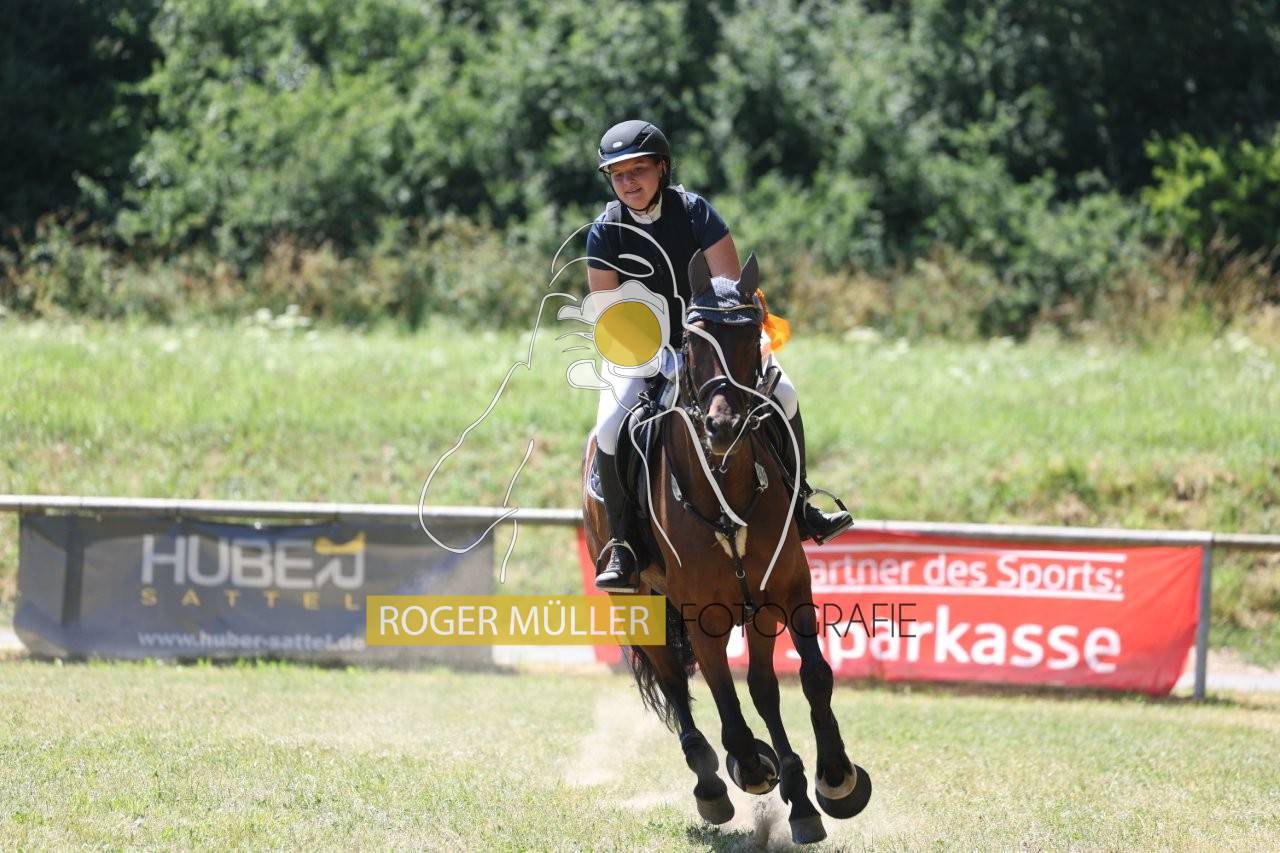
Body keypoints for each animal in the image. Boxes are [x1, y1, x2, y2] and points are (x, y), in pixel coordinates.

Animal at [581, 250, 872, 845]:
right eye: (692, 345)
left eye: (749, 338)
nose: (723, 425)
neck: (725, 487)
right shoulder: (703, 614)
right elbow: (724, 700)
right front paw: (753, 768)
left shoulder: (787, 589)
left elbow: (811, 678)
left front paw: (835, 780)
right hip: (639, 604)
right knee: (678, 688)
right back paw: (715, 785)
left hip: (754, 609)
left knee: (762, 687)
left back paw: (796, 795)